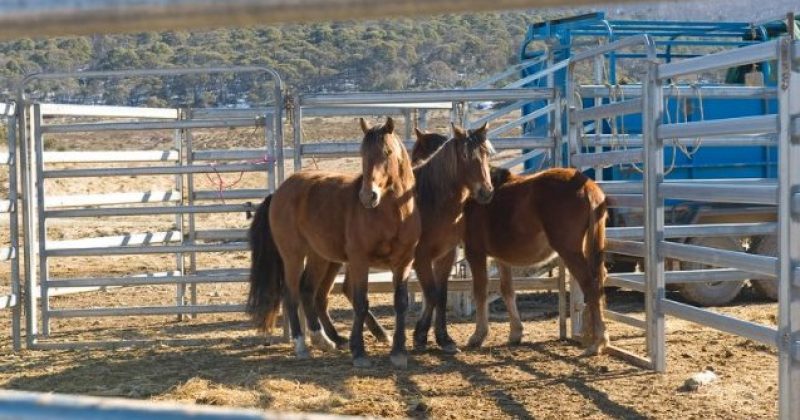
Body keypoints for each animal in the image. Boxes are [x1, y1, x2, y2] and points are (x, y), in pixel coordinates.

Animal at [247, 118, 422, 368]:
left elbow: (400, 302)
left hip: (319, 257)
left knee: (308, 290)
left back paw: (323, 340)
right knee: (291, 294)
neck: (393, 213)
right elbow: (360, 302)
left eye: (387, 152)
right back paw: (301, 344)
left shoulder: (404, 262)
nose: (368, 196)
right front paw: (359, 352)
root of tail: (279, 191)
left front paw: (398, 351)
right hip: (293, 255)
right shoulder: (359, 261)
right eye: (362, 153)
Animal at [310, 124, 494, 354]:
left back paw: (371, 333)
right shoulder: (421, 257)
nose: (486, 192)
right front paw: (420, 336)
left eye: (486, 153)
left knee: (333, 293)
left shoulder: (446, 255)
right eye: (465, 156)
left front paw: (444, 338)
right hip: (330, 259)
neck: (433, 201)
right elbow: (431, 293)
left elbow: (441, 295)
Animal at [410, 136, 608, 356]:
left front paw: (478, 335)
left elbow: (480, 290)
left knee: (591, 285)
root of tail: (587, 186)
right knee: (600, 279)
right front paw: (515, 333)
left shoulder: (475, 252)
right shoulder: (501, 256)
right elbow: (507, 290)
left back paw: (597, 341)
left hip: (570, 251)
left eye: (417, 157)